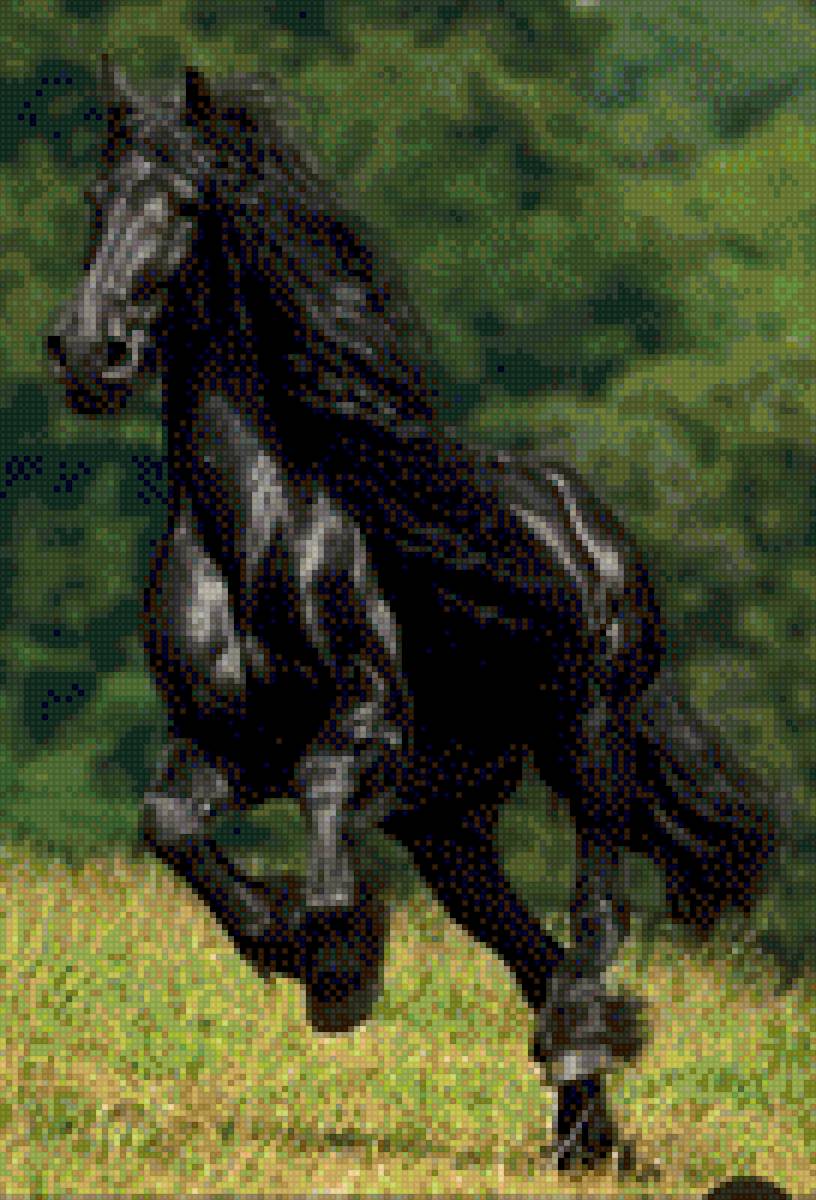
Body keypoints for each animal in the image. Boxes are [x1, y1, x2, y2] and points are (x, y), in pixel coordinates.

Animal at [46, 58, 782, 1176]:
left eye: (184, 206)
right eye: (97, 200)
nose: (91, 355)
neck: (253, 527)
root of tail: (595, 530)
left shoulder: (366, 719)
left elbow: (320, 799)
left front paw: (341, 961)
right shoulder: (222, 745)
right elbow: (167, 823)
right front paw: (292, 947)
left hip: (588, 742)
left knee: (595, 915)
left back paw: (584, 1066)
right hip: (449, 828)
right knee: (533, 955)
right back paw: (586, 1136)